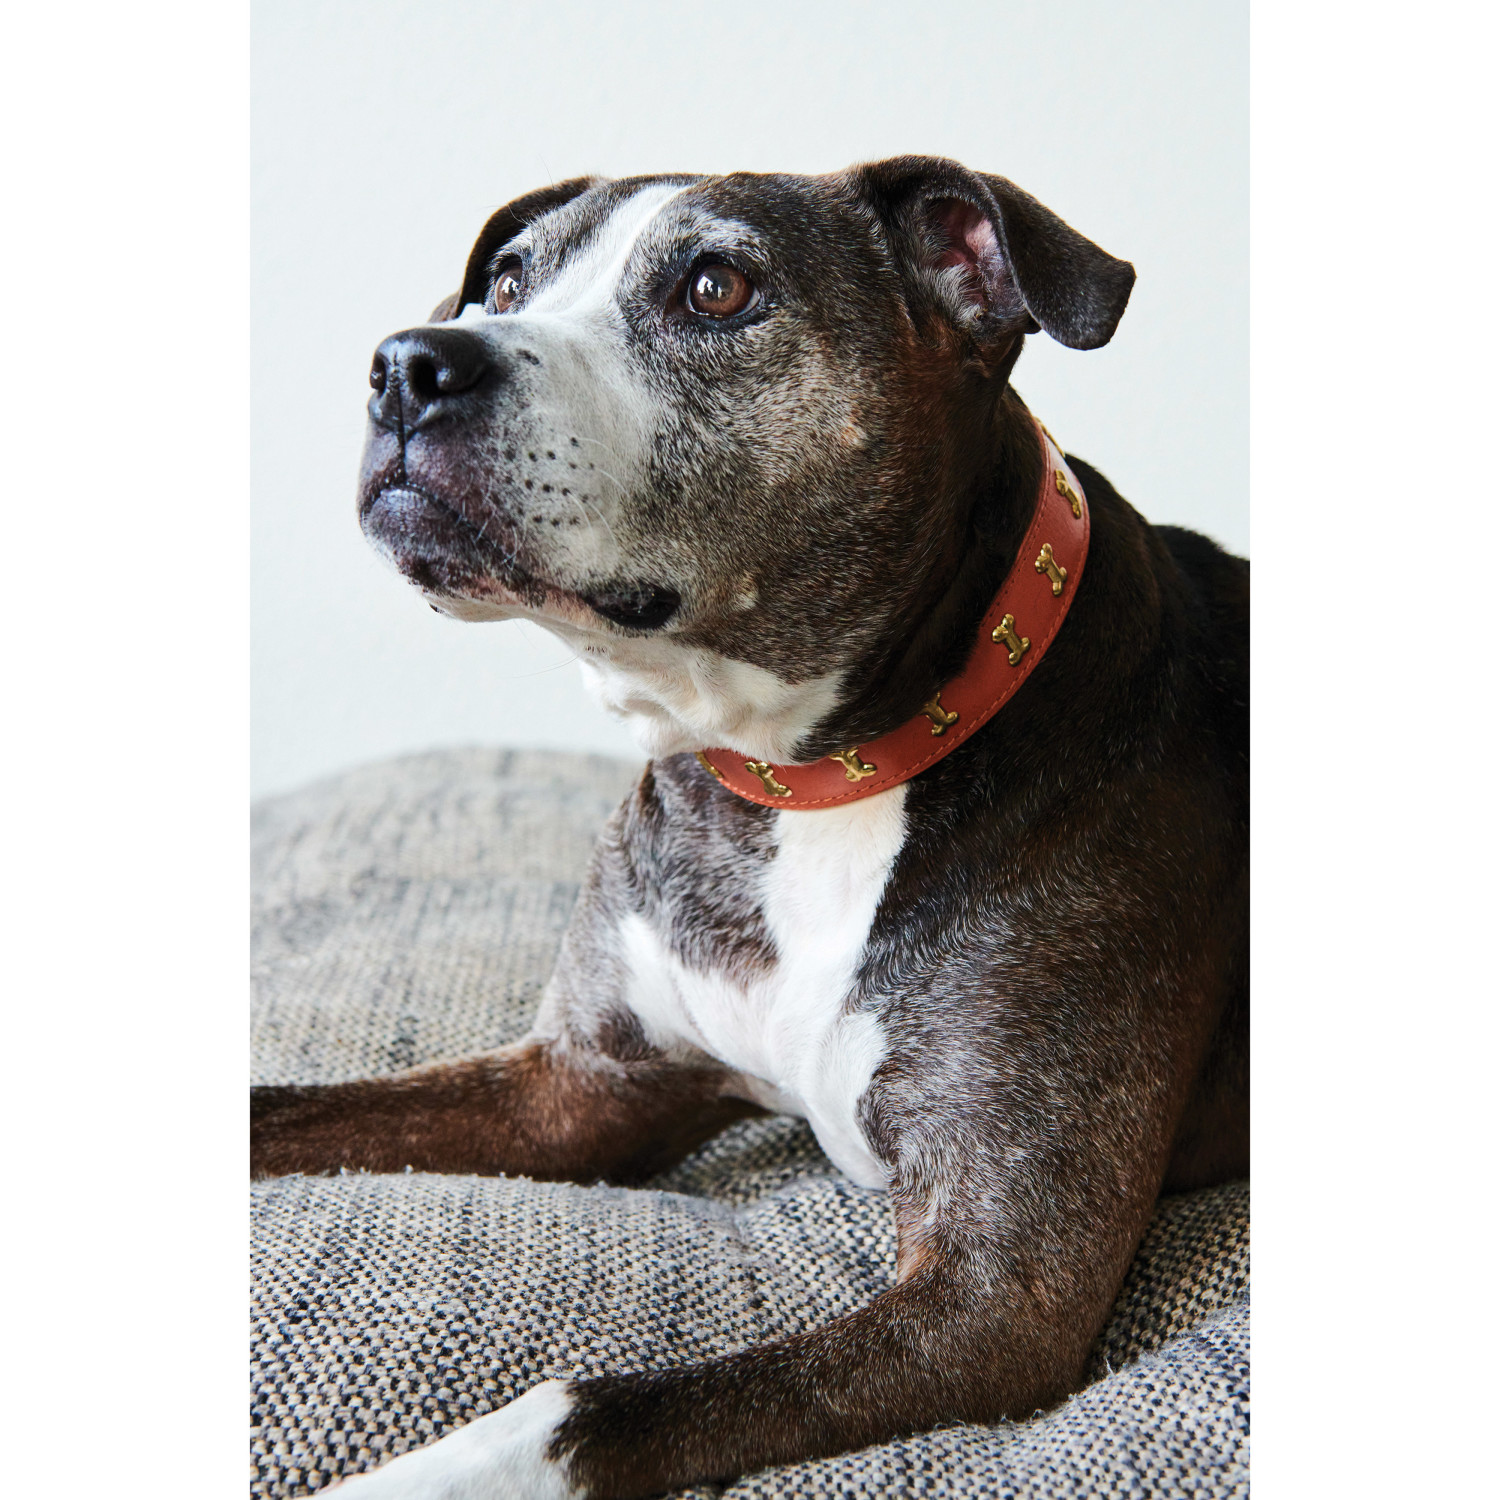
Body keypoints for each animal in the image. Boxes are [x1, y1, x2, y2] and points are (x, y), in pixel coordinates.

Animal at [251, 157, 1249, 1499]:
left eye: (717, 288)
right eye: (508, 281)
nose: (411, 361)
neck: (796, 792)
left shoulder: (997, 1299)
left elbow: (579, 1414)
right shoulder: (579, 1088)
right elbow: (286, 1111)